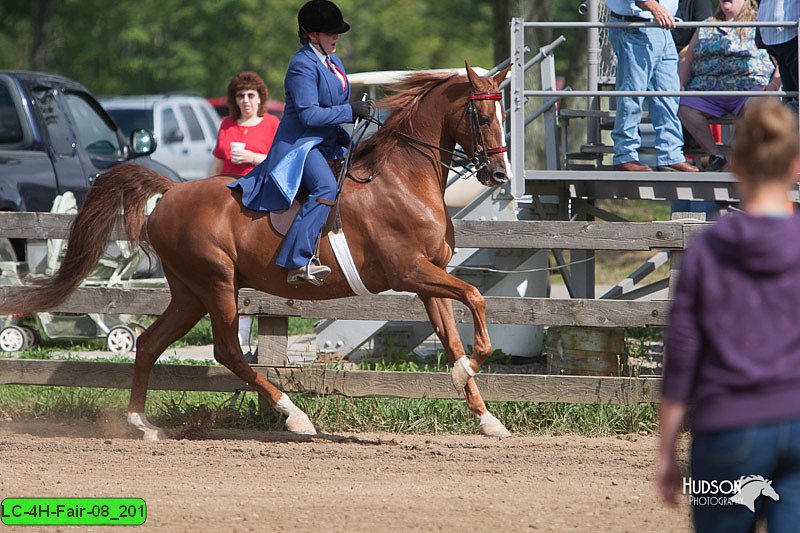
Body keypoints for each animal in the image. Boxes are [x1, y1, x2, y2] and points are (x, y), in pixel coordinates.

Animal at [0, 63, 512, 436]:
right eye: (484, 117)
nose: (500, 175)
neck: (404, 179)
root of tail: (171, 191)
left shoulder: (428, 278)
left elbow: (453, 333)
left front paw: (485, 415)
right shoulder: (409, 271)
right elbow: (476, 298)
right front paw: (471, 368)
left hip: (189, 292)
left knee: (149, 344)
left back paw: (141, 424)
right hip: (217, 283)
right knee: (227, 350)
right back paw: (295, 415)